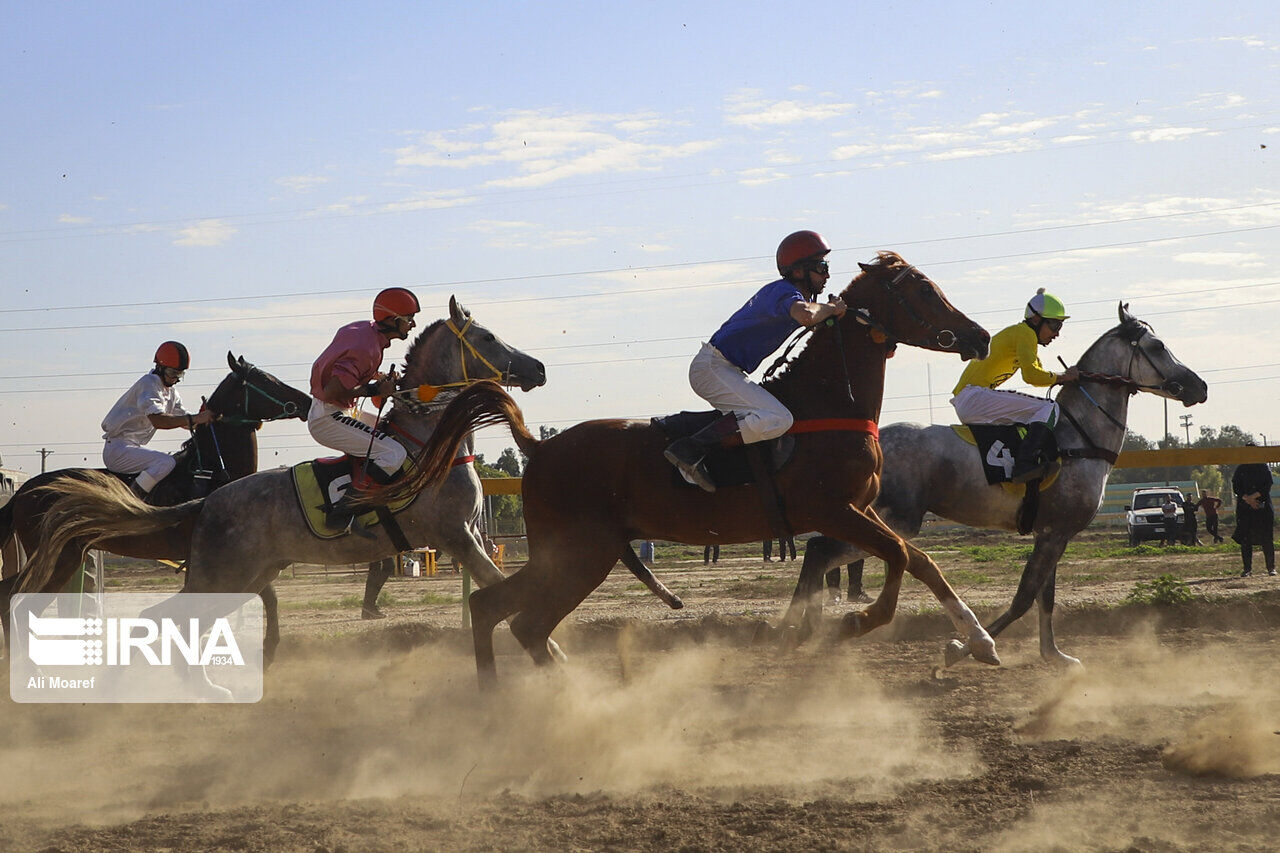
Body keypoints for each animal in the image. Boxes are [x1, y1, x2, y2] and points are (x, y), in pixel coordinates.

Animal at [20, 295, 547, 660]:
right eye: (488, 338)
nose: (538, 367)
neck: (428, 442)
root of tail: (209, 503)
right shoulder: (456, 536)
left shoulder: (471, 533)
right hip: (187, 570)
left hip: (239, 570)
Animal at [401, 247, 998, 686]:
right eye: (924, 290)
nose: (980, 336)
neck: (828, 402)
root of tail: (539, 448)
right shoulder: (834, 510)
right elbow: (897, 557)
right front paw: (856, 621)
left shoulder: (860, 510)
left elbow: (920, 560)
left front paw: (977, 640)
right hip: (581, 552)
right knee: (521, 620)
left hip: (573, 552)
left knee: (494, 608)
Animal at [778, 302, 1208, 666]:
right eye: (1157, 345)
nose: (1200, 387)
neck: (1078, 438)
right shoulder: (1055, 533)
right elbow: (1024, 599)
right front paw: (965, 648)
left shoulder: (1053, 532)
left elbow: (1046, 597)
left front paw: (1053, 655)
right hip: (894, 519)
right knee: (823, 550)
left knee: (818, 551)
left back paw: (802, 627)